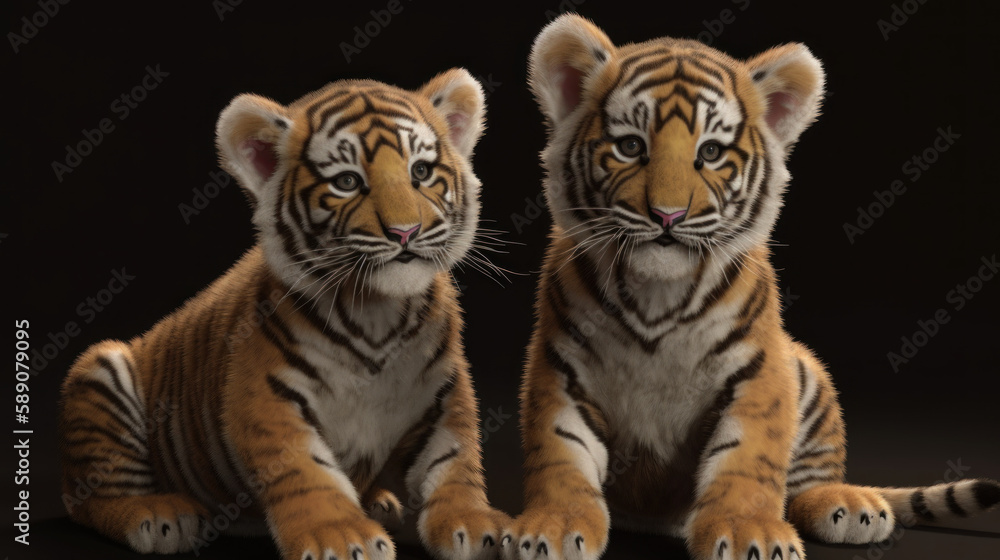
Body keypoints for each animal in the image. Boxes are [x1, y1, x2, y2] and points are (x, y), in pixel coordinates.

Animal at [58, 68, 511, 560]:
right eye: (347, 181)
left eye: (422, 172)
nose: (405, 232)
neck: (379, 312)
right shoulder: (265, 394)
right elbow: (306, 469)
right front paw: (341, 536)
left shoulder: (444, 390)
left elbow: (454, 460)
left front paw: (476, 524)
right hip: (102, 371)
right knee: (92, 498)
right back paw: (159, 516)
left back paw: (378, 502)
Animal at [501, 14, 1000, 560]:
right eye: (631, 147)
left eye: (711, 152)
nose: (667, 216)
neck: (658, 293)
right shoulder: (560, 368)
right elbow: (561, 455)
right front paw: (552, 527)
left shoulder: (760, 371)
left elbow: (747, 458)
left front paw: (748, 532)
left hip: (808, 372)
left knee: (806, 481)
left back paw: (848, 507)